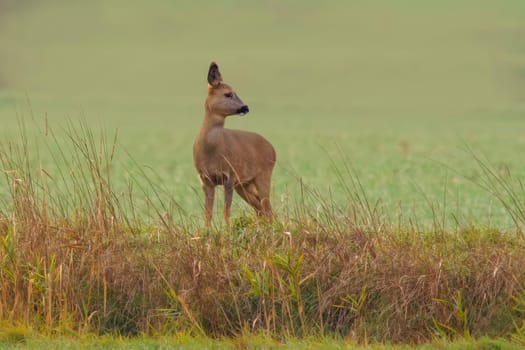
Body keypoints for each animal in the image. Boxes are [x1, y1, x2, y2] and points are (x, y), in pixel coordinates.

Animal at [192, 62, 274, 227]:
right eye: (228, 94)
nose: (245, 107)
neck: (211, 151)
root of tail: (273, 149)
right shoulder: (206, 179)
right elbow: (208, 212)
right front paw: (207, 230)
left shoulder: (229, 176)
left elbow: (226, 210)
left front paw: (227, 229)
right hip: (244, 184)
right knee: (260, 208)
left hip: (263, 175)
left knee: (267, 208)